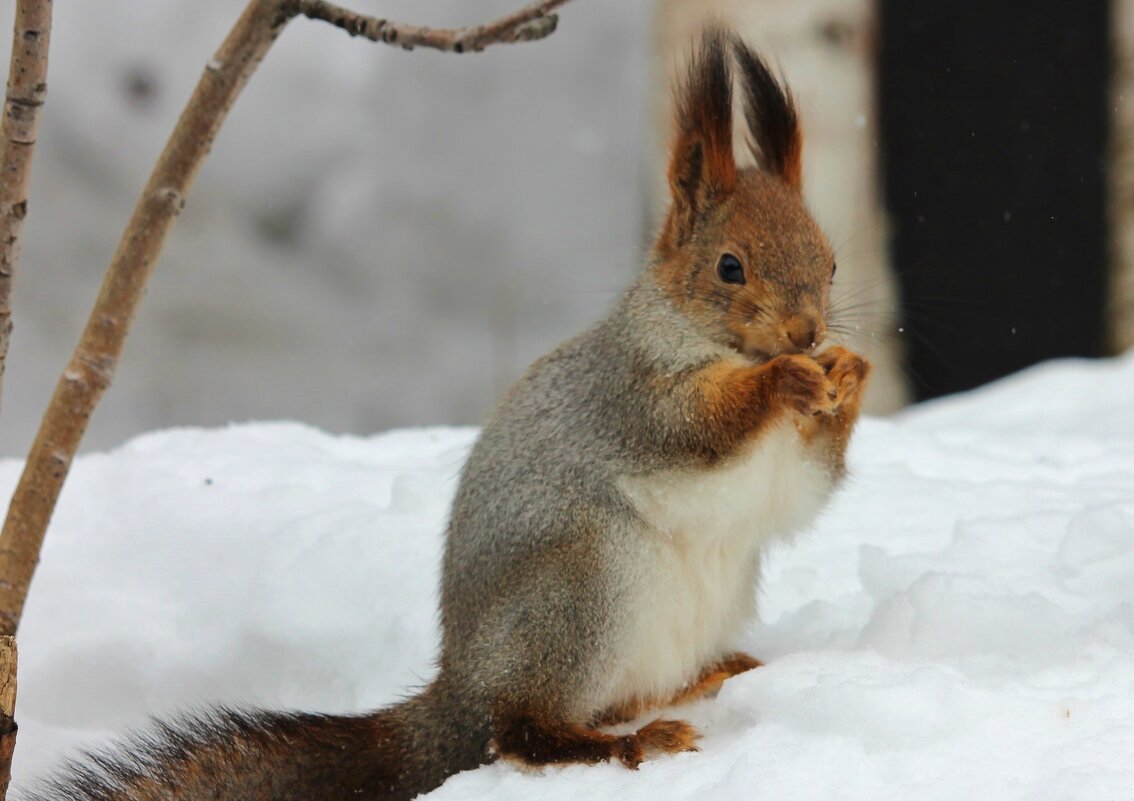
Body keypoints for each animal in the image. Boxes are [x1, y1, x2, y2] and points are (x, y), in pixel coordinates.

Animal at [33, 24, 866, 798]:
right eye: (730, 267)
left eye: (830, 261)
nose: (807, 333)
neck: (719, 343)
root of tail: (459, 694)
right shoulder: (632, 390)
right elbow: (697, 425)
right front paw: (787, 380)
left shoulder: (779, 473)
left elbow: (804, 490)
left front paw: (848, 376)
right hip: (580, 590)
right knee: (518, 730)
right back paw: (625, 742)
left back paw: (704, 676)